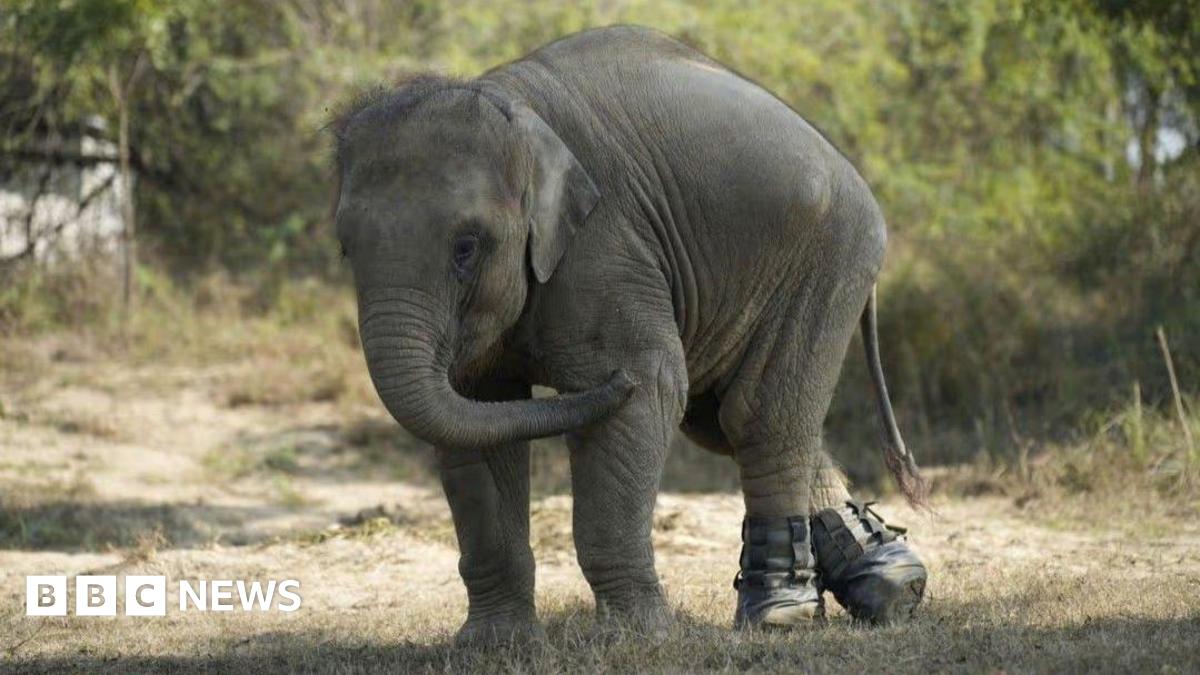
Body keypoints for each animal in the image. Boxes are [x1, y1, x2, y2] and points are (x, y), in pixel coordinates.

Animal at [331, 25, 927, 644]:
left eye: (465, 248)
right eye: (345, 247)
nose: (611, 385)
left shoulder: (606, 246)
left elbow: (648, 388)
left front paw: (640, 638)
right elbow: (478, 416)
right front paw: (492, 644)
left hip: (826, 259)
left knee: (758, 418)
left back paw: (781, 613)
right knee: (722, 420)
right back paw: (891, 580)